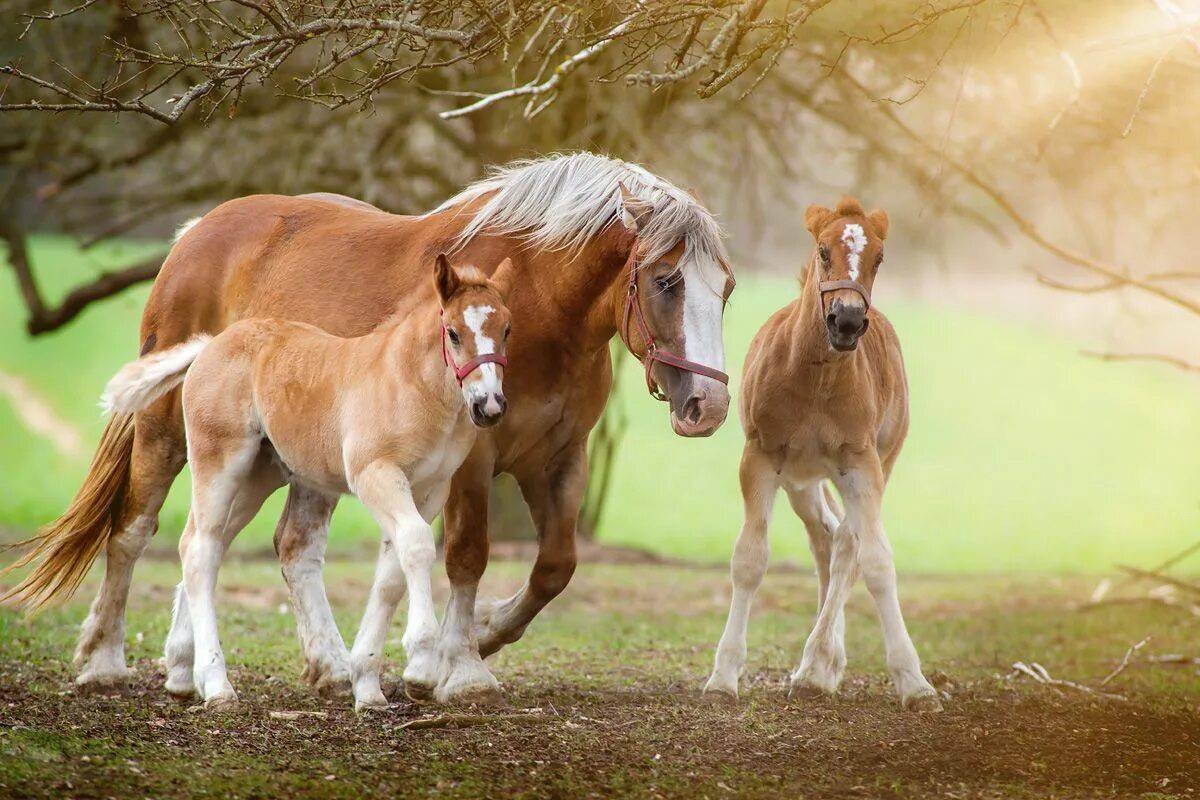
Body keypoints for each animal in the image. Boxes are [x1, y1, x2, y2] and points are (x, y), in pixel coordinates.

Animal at [98, 256, 514, 710]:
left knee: (207, 542)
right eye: (453, 333)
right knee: (200, 550)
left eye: (507, 329)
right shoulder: (375, 474)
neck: (409, 383)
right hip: (219, 462)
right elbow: (418, 546)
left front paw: (368, 686)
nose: (490, 406)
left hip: (258, 475)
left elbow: (392, 571)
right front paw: (420, 666)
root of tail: (211, 344)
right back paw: (217, 685)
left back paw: (180, 673)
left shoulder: (430, 489)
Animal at [703, 197, 941, 712]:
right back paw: (819, 664)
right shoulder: (760, 457)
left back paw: (817, 665)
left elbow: (877, 561)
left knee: (846, 548)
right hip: (801, 479)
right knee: (826, 539)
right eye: (823, 251)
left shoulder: (862, 466)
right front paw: (723, 677)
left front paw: (913, 682)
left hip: (879, 461)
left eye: (879, 259)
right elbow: (749, 559)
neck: (816, 379)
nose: (847, 321)